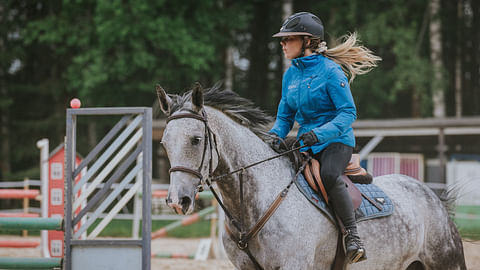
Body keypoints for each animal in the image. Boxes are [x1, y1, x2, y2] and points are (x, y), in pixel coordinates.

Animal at [157, 83, 464, 270]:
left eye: (196, 140)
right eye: (164, 143)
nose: (177, 201)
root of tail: (431, 196)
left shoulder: (295, 263)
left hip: (446, 261)